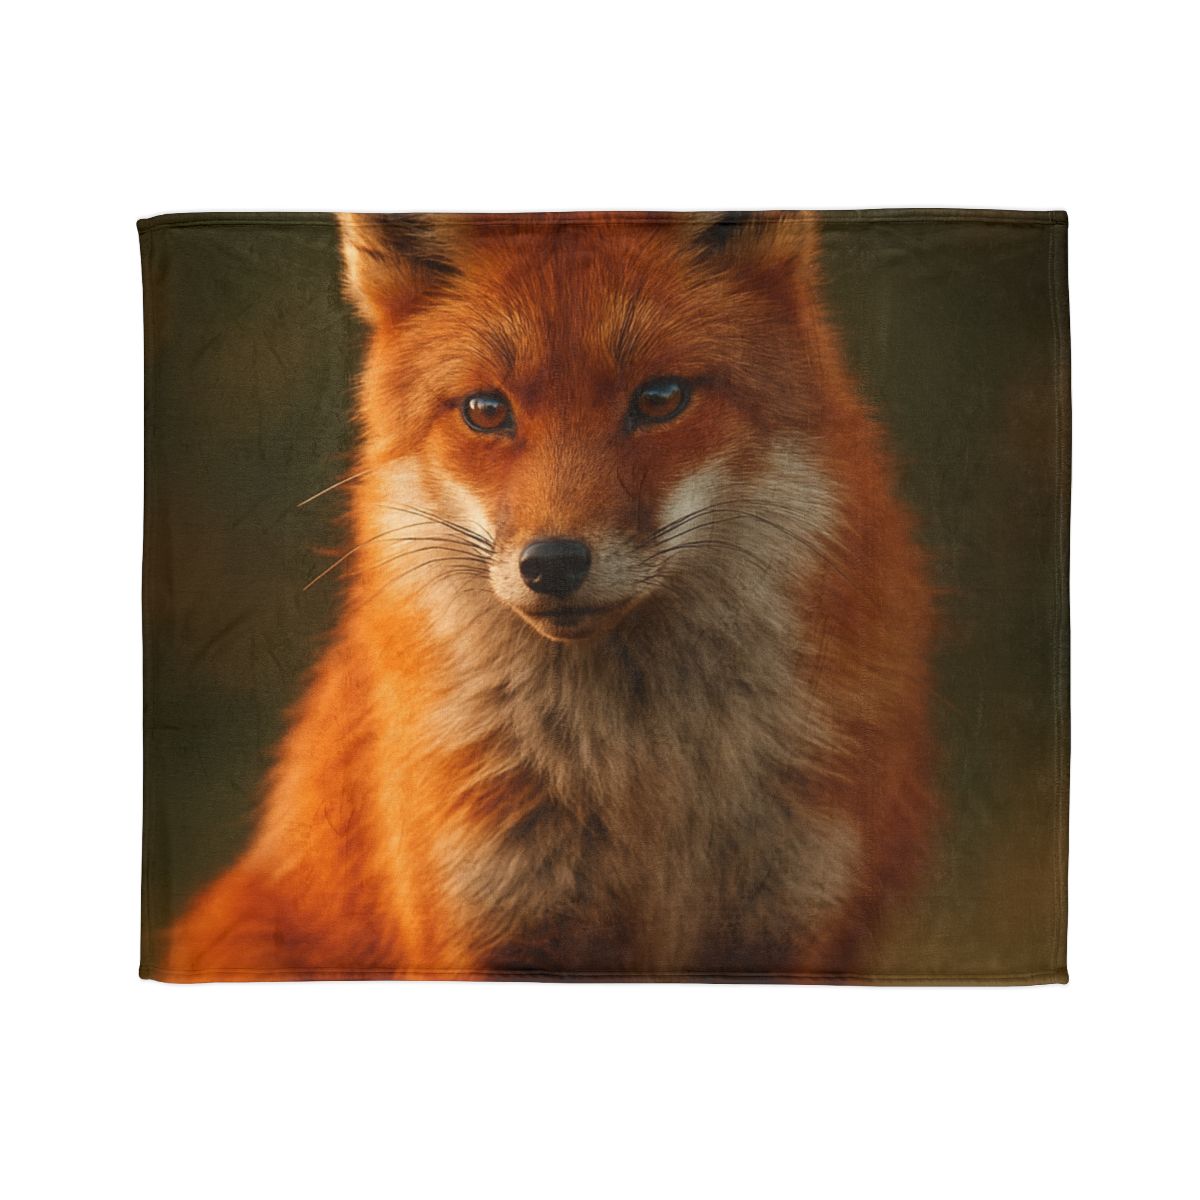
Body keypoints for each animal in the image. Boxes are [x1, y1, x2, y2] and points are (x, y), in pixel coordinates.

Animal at [163, 211, 935, 982]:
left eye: (660, 399)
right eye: (486, 410)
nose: (554, 564)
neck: (642, 780)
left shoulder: (791, 928)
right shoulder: (489, 927)